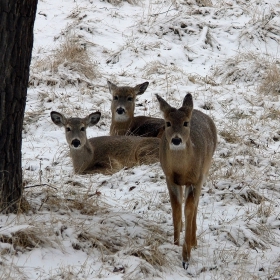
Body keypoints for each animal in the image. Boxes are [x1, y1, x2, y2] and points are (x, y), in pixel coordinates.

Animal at [155, 93, 217, 270]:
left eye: (185, 123)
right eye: (168, 123)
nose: (176, 140)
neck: (182, 169)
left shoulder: (195, 179)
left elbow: (189, 209)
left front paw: (186, 257)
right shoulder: (170, 178)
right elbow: (176, 209)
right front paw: (175, 244)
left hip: (205, 171)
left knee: (195, 206)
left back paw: (193, 240)